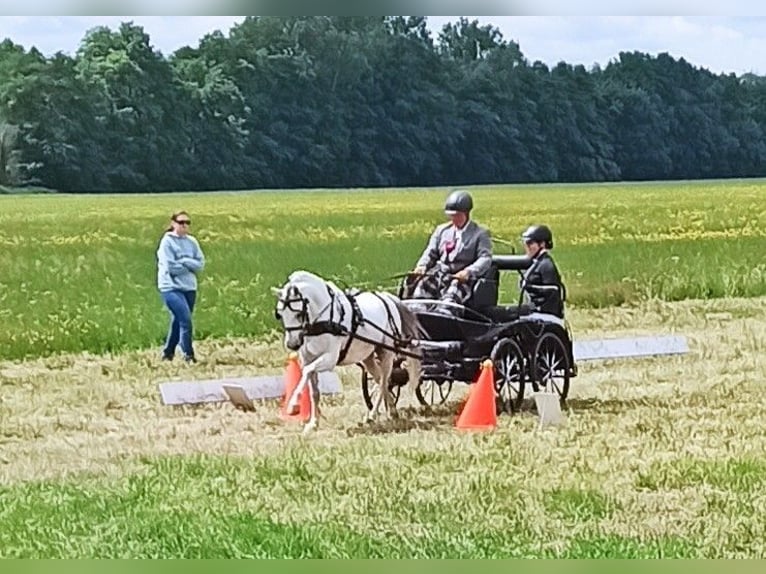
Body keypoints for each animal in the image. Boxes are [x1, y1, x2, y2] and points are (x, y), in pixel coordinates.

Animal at [272, 272, 426, 434]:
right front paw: (313, 423)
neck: (323, 320)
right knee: (381, 381)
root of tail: (387, 298)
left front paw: (293, 406)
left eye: (299, 314)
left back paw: (372, 415)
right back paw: (392, 411)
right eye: (279, 313)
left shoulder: (330, 359)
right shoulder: (307, 358)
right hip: (368, 356)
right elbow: (313, 390)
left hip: (386, 352)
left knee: (384, 381)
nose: (292, 343)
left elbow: (307, 371)